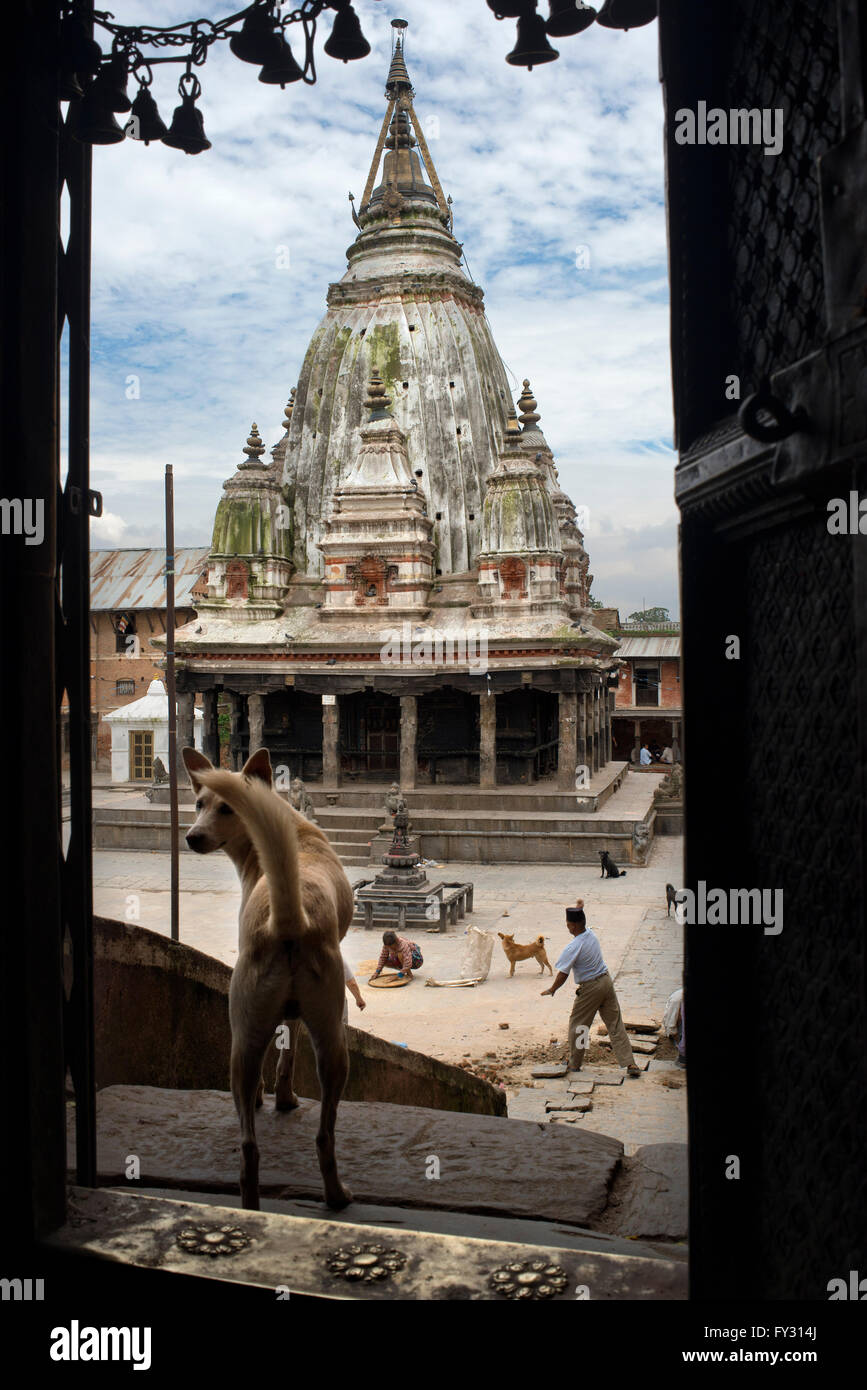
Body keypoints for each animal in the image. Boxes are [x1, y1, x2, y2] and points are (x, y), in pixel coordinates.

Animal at [183, 745, 355, 1212]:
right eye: (198, 804)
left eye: (226, 808)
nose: (192, 837)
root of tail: (292, 919)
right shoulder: (293, 1013)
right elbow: (288, 1051)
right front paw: (287, 1099)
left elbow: (280, 1053)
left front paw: (275, 1098)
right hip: (330, 1032)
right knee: (321, 1135)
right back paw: (335, 1196)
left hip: (249, 1039)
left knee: (251, 1145)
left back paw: (254, 1202)